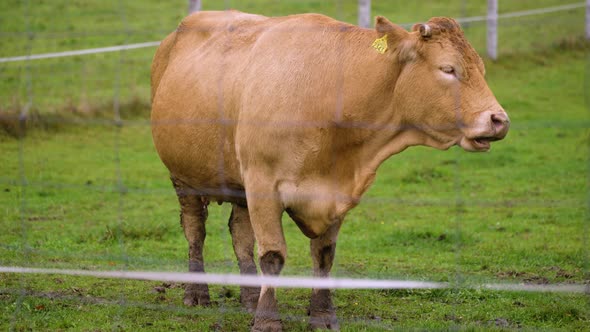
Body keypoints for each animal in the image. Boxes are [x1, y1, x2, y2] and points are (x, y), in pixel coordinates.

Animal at [150, 10, 512, 332]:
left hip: (238, 183)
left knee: (240, 235)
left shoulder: (336, 192)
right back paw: (197, 294)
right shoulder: (264, 184)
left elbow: (323, 256)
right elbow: (273, 256)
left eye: (480, 68)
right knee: (195, 231)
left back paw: (250, 298)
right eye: (448, 69)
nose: (500, 120)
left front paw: (322, 316)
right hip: (183, 177)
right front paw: (268, 322)